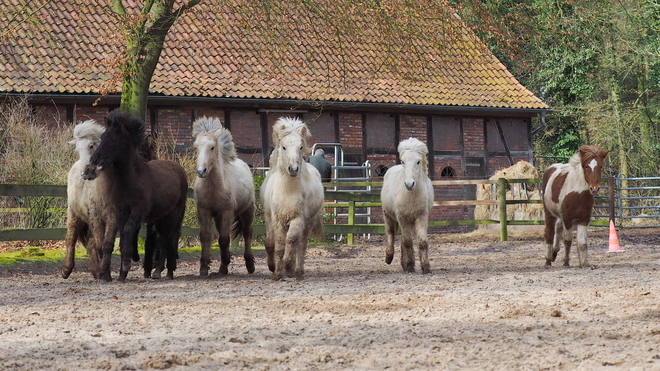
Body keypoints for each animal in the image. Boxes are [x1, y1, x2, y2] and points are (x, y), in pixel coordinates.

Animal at [84, 110, 188, 282]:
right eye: (103, 137)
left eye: (114, 139)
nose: (94, 160)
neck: (131, 180)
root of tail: (180, 169)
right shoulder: (119, 212)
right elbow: (119, 239)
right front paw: (118, 274)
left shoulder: (138, 211)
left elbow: (128, 231)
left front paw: (126, 265)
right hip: (159, 217)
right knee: (164, 239)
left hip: (172, 215)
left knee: (167, 240)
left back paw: (160, 271)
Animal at [192, 116, 256, 276]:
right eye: (195, 147)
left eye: (212, 147)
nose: (201, 171)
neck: (214, 189)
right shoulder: (204, 211)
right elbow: (206, 236)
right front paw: (204, 267)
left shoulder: (227, 212)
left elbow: (225, 239)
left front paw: (224, 265)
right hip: (217, 217)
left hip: (248, 211)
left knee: (247, 233)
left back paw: (250, 265)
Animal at [262, 117, 326, 280]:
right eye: (284, 147)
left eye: (300, 147)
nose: (293, 169)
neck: (288, 191)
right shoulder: (278, 219)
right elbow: (279, 245)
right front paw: (278, 273)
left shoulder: (297, 219)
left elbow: (291, 241)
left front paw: (288, 266)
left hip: (309, 222)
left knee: (301, 245)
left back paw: (298, 271)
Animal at [378, 138, 436, 274]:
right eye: (403, 161)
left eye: (418, 161)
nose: (409, 184)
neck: (411, 195)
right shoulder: (402, 218)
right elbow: (408, 242)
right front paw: (410, 266)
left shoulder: (421, 217)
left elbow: (422, 242)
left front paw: (426, 267)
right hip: (388, 216)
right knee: (391, 234)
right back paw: (389, 257)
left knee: (402, 240)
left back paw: (403, 263)